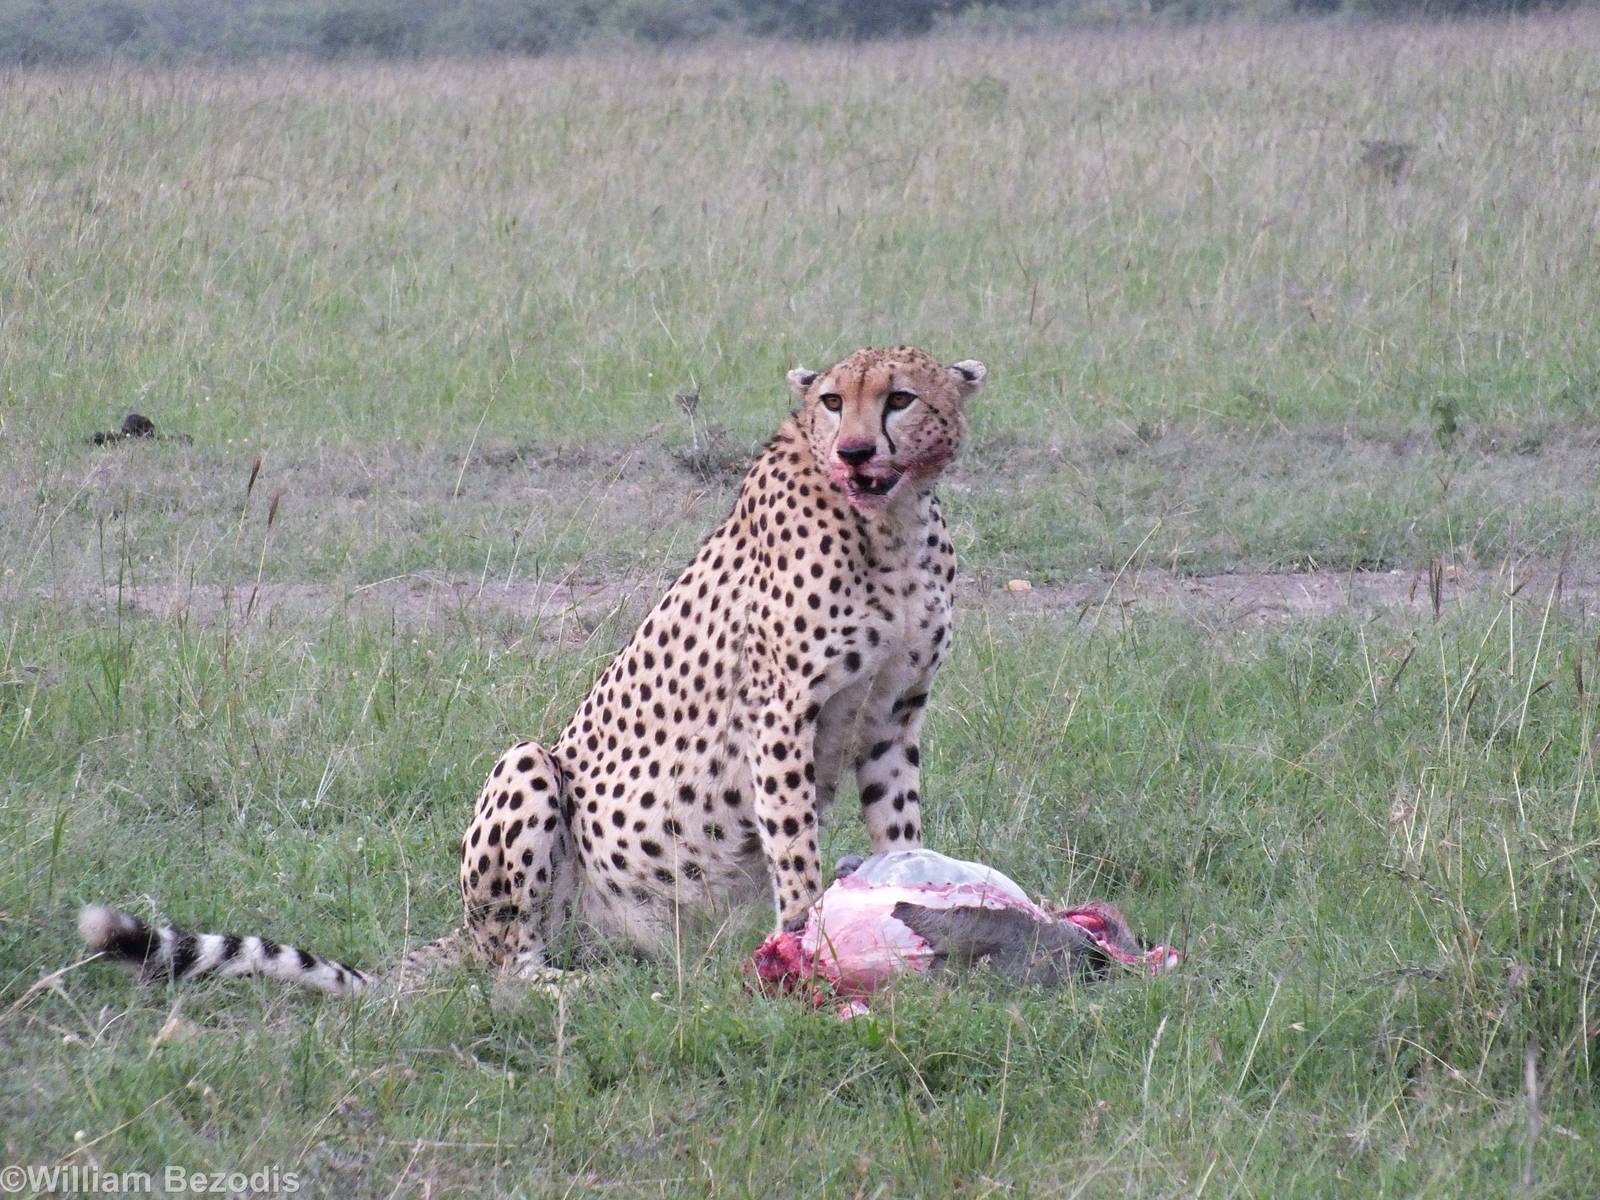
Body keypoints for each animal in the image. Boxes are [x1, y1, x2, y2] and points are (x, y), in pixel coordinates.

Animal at [78, 346, 988, 996]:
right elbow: (795, 849)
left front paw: (906, 910)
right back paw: (566, 987)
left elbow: (899, 830)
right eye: (833, 401)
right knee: (510, 966)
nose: (855, 448)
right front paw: (804, 946)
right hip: (526, 770)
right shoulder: (781, 717)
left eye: (899, 398)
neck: (890, 523)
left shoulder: (895, 715)